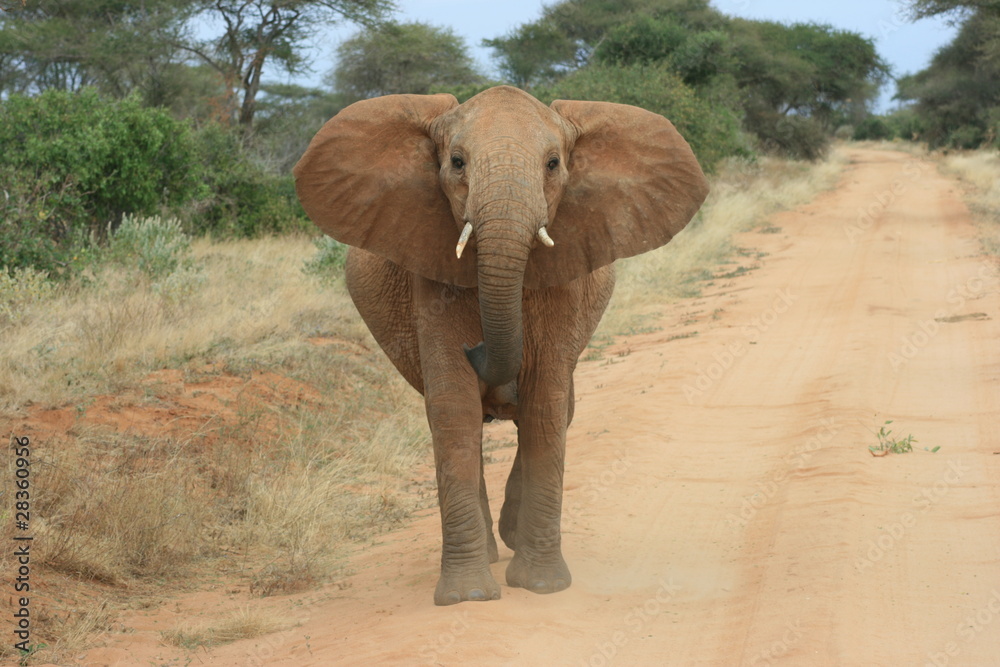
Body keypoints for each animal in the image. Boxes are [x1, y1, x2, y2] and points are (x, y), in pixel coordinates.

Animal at [294, 85, 708, 605]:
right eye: (456, 162)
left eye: (553, 163)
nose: (477, 350)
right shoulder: (429, 274)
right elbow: (453, 410)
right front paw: (468, 596)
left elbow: (546, 406)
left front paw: (542, 586)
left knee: (559, 408)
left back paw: (512, 536)